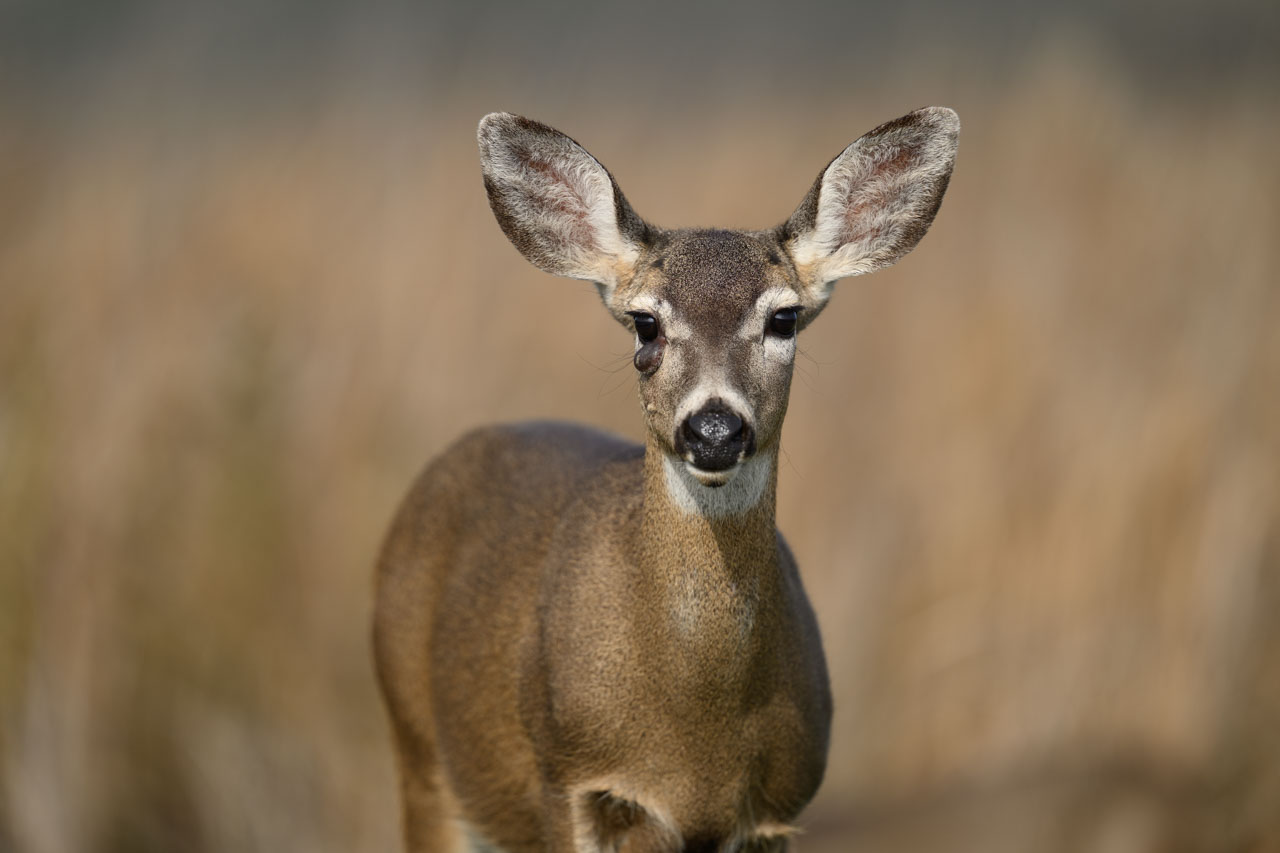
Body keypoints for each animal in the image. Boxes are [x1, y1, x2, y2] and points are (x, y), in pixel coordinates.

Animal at [373, 106, 959, 853]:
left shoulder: (780, 805)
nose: (713, 429)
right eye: (645, 322)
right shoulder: (570, 779)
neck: (696, 737)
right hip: (418, 750)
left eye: (784, 318)